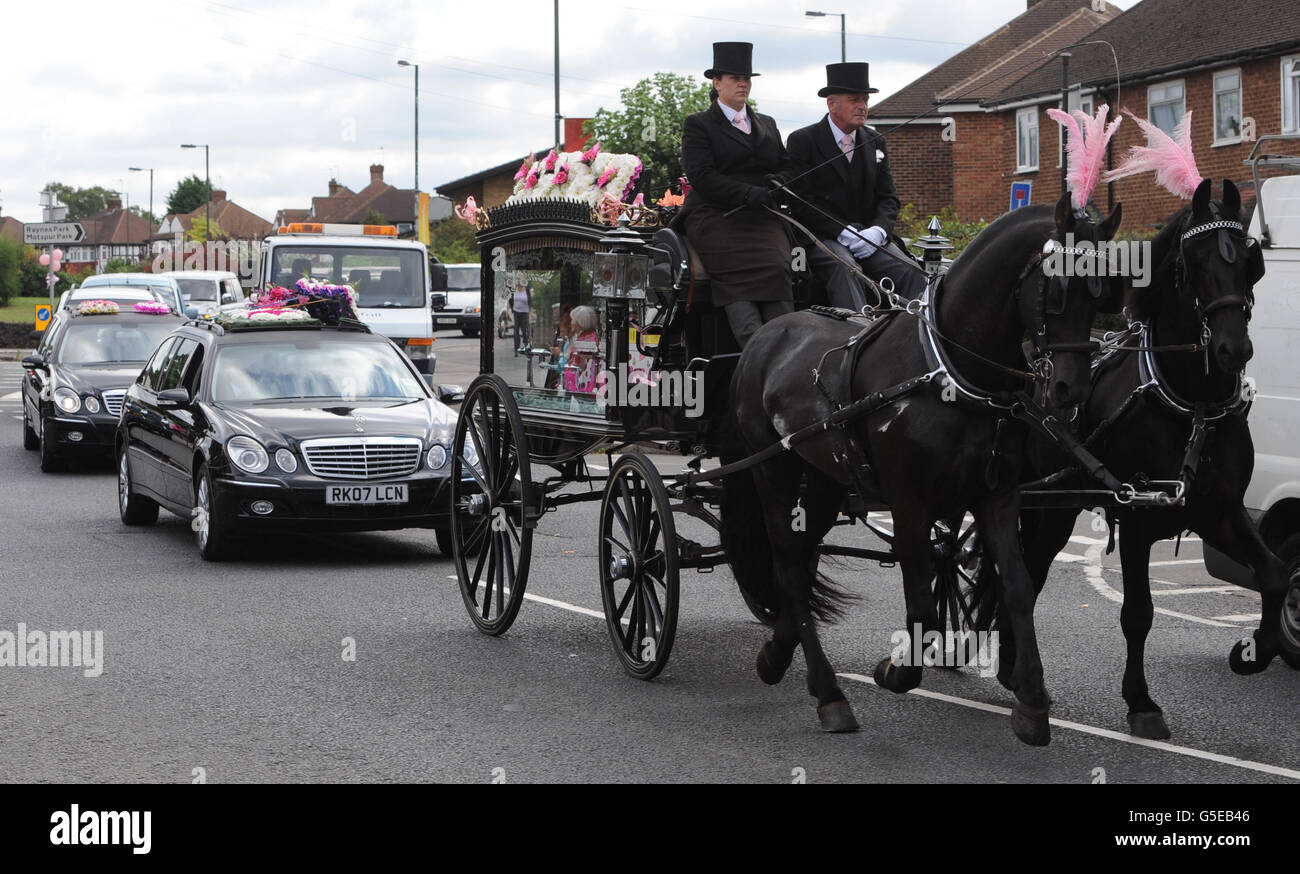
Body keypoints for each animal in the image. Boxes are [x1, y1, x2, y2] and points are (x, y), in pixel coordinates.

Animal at [717, 195, 1123, 738]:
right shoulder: (909, 502)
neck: (951, 370)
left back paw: (778, 655)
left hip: (825, 477)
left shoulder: (996, 495)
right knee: (787, 563)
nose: (1069, 390)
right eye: (1055, 288)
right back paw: (828, 693)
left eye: (1103, 292)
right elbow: (923, 605)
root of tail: (766, 334)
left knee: (801, 558)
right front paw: (897, 669)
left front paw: (1032, 703)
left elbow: (1016, 587)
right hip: (773, 469)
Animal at [982, 176, 1279, 738]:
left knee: (1028, 572)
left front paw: (1253, 652)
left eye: (1249, 261)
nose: (1234, 349)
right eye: (1194, 261)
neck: (1192, 406)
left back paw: (1014, 668)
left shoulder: (1220, 512)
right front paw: (1141, 702)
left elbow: (1272, 569)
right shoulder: (1139, 520)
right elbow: (1138, 613)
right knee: (1024, 573)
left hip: (1053, 507)